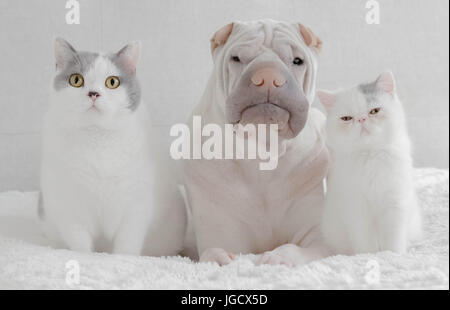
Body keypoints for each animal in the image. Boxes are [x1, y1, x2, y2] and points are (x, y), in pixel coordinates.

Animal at [39, 38, 186, 256]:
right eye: (76, 80)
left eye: (112, 82)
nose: (93, 94)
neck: (97, 140)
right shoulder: (68, 205)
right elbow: (80, 243)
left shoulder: (135, 204)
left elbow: (126, 245)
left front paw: (120, 259)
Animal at [316, 72, 422, 254]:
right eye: (346, 118)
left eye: (374, 111)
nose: (361, 119)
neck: (371, 154)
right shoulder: (356, 206)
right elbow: (365, 240)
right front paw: (368, 255)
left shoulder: (395, 201)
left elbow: (393, 237)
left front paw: (393, 254)